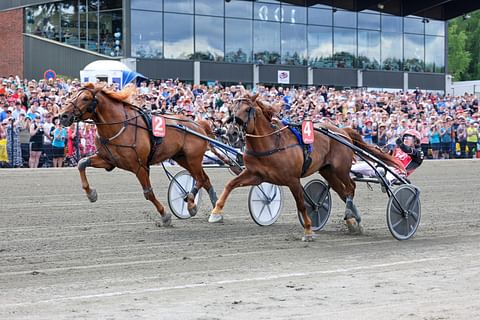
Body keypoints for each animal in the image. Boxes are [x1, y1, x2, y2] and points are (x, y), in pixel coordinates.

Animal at [59, 84, 220, 226]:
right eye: (71, 94)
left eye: (85, 98)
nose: (63, 116)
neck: (119, 127)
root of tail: (199, 125)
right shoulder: (109, 161)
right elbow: (82, 163)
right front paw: (91, 194)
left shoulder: (140, 166)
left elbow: (148, 193)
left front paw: (165, 216)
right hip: (182, 158)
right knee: (204, 179)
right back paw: (216, 209)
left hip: (193, 159)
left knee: (200, 179)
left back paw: (192, 203)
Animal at [208, 92, 404, 240]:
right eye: (232, 109)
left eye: (248, 109)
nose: (232, 133)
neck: (271, 143)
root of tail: (342, 130)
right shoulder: (255, 175)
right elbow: (230, 185)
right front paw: (215, 212)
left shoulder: (292, 180)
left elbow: (301, 204)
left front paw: (308, 231)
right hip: (327, 170)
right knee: (342, 191)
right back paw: (353, 222)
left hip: (340, 168)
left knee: (351, 187)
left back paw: (354, 214)